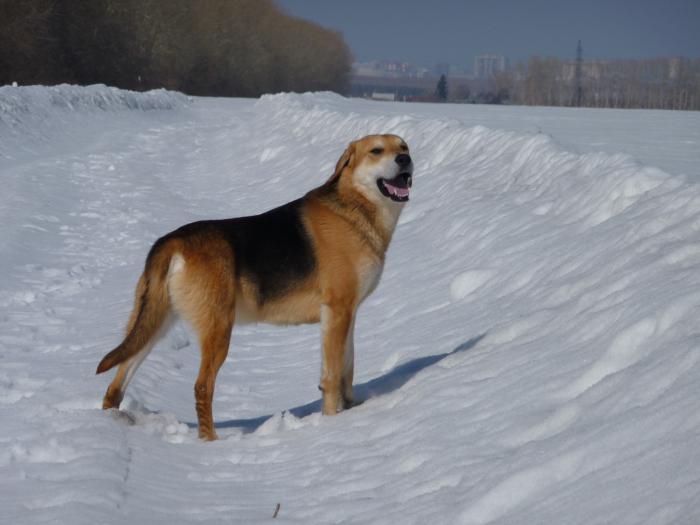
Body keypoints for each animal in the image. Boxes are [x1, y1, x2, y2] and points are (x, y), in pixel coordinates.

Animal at [95, 134, 412, 438]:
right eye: (376, 151)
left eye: (404, 146)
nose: (405, 160)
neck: (354, 207)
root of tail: (172, 242)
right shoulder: (338, 310)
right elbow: (333, 376)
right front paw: (333, 421)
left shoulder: (346, 314)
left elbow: (347, 368)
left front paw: (351, 409)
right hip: (218, 329)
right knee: (202, 387)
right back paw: (210, 442)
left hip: (152, 325)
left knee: (116, 385)